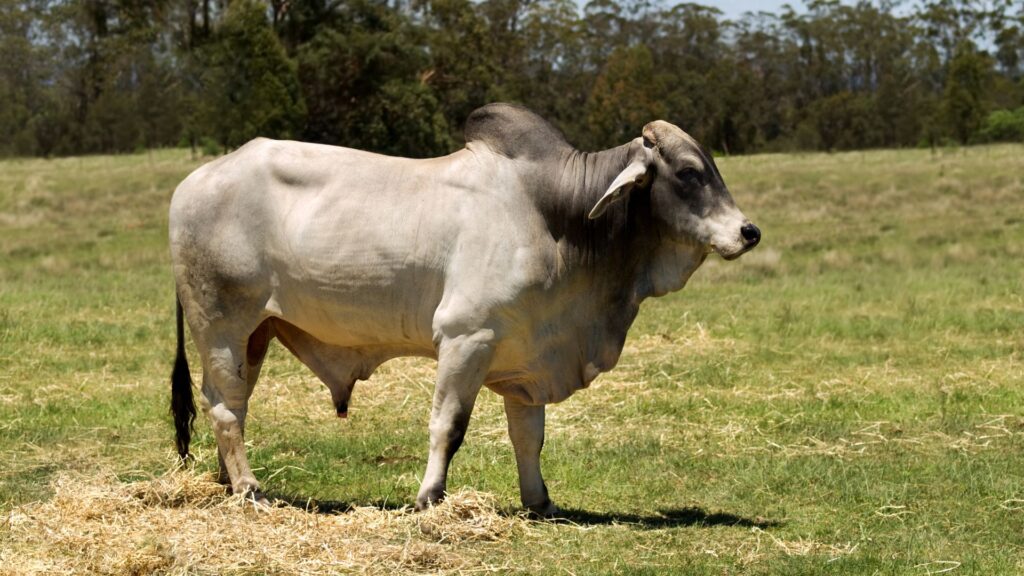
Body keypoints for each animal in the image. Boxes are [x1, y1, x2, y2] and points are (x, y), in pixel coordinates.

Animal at [169, 103, 760, 516]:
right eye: (688, 173)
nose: (748, 231)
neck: (558, 216)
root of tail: (192, 182)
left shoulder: (527, 358)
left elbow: (529, 436)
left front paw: (539, 501)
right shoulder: (465, 338)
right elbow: (447, 426)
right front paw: (429, 497)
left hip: (257, 333)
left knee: (232, 404)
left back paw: (228, 482)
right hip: (221, 326)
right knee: (225, 407)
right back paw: (249, 489)